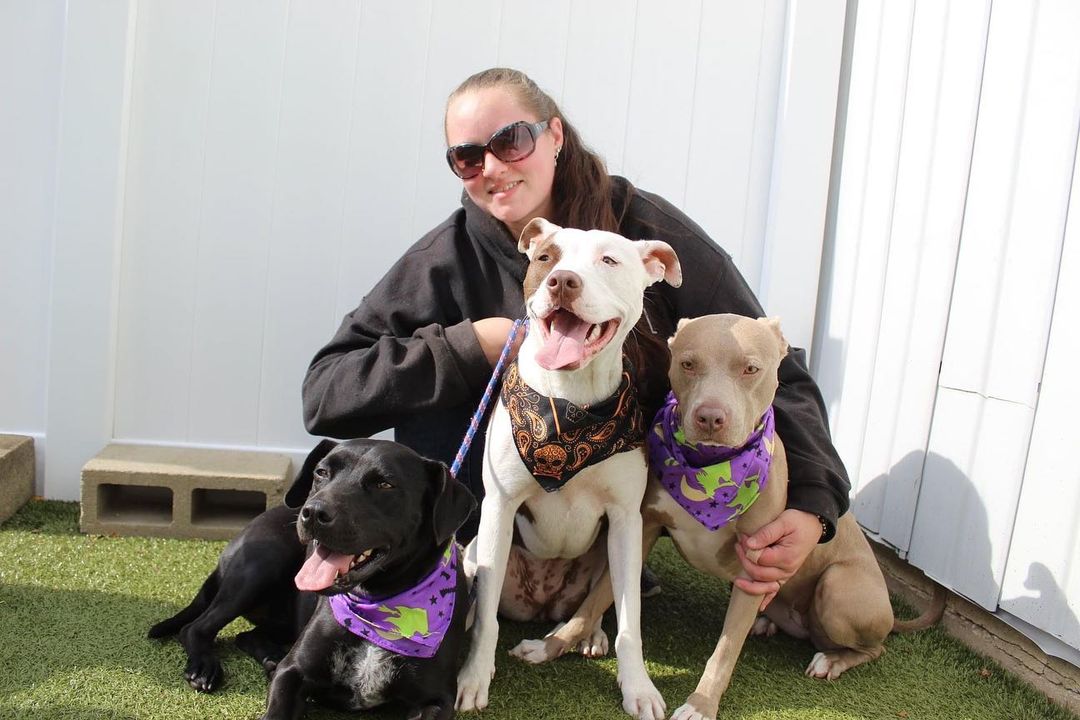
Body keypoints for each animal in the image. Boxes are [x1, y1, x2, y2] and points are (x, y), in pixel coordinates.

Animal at [150, 440, 475, 720]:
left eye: (385, 483)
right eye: (321, 472)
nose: (314, 512)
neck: (378, 604)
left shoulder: (436, 699)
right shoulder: (293, 672)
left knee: (246, 634)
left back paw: (269, 656)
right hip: (261, 565)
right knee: (196, 627)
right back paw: (205, 667)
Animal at [457, 218, 682, 720]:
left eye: (609, 259)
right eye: (546, 258)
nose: (562, 281)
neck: (571, 405)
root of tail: (543, 604)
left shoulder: (626, 519)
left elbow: (630, 625)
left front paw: (638, 688)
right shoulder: (499, 506)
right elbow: (485, 623)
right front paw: (473, 677)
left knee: (594, 603)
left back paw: (591, 635)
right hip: (478, 549)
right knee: (480, 598)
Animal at [514, 313, 946, 720]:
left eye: (750, 368)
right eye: (688, 364)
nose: (710, 417)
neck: (709, 469)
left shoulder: (758, 563)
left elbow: (724, 651)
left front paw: (700, 705)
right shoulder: (643, 529)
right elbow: (596, 598)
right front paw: (551, 645)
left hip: (839, 589)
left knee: (875, 647)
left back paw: (833, 659)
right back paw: (767, 623)